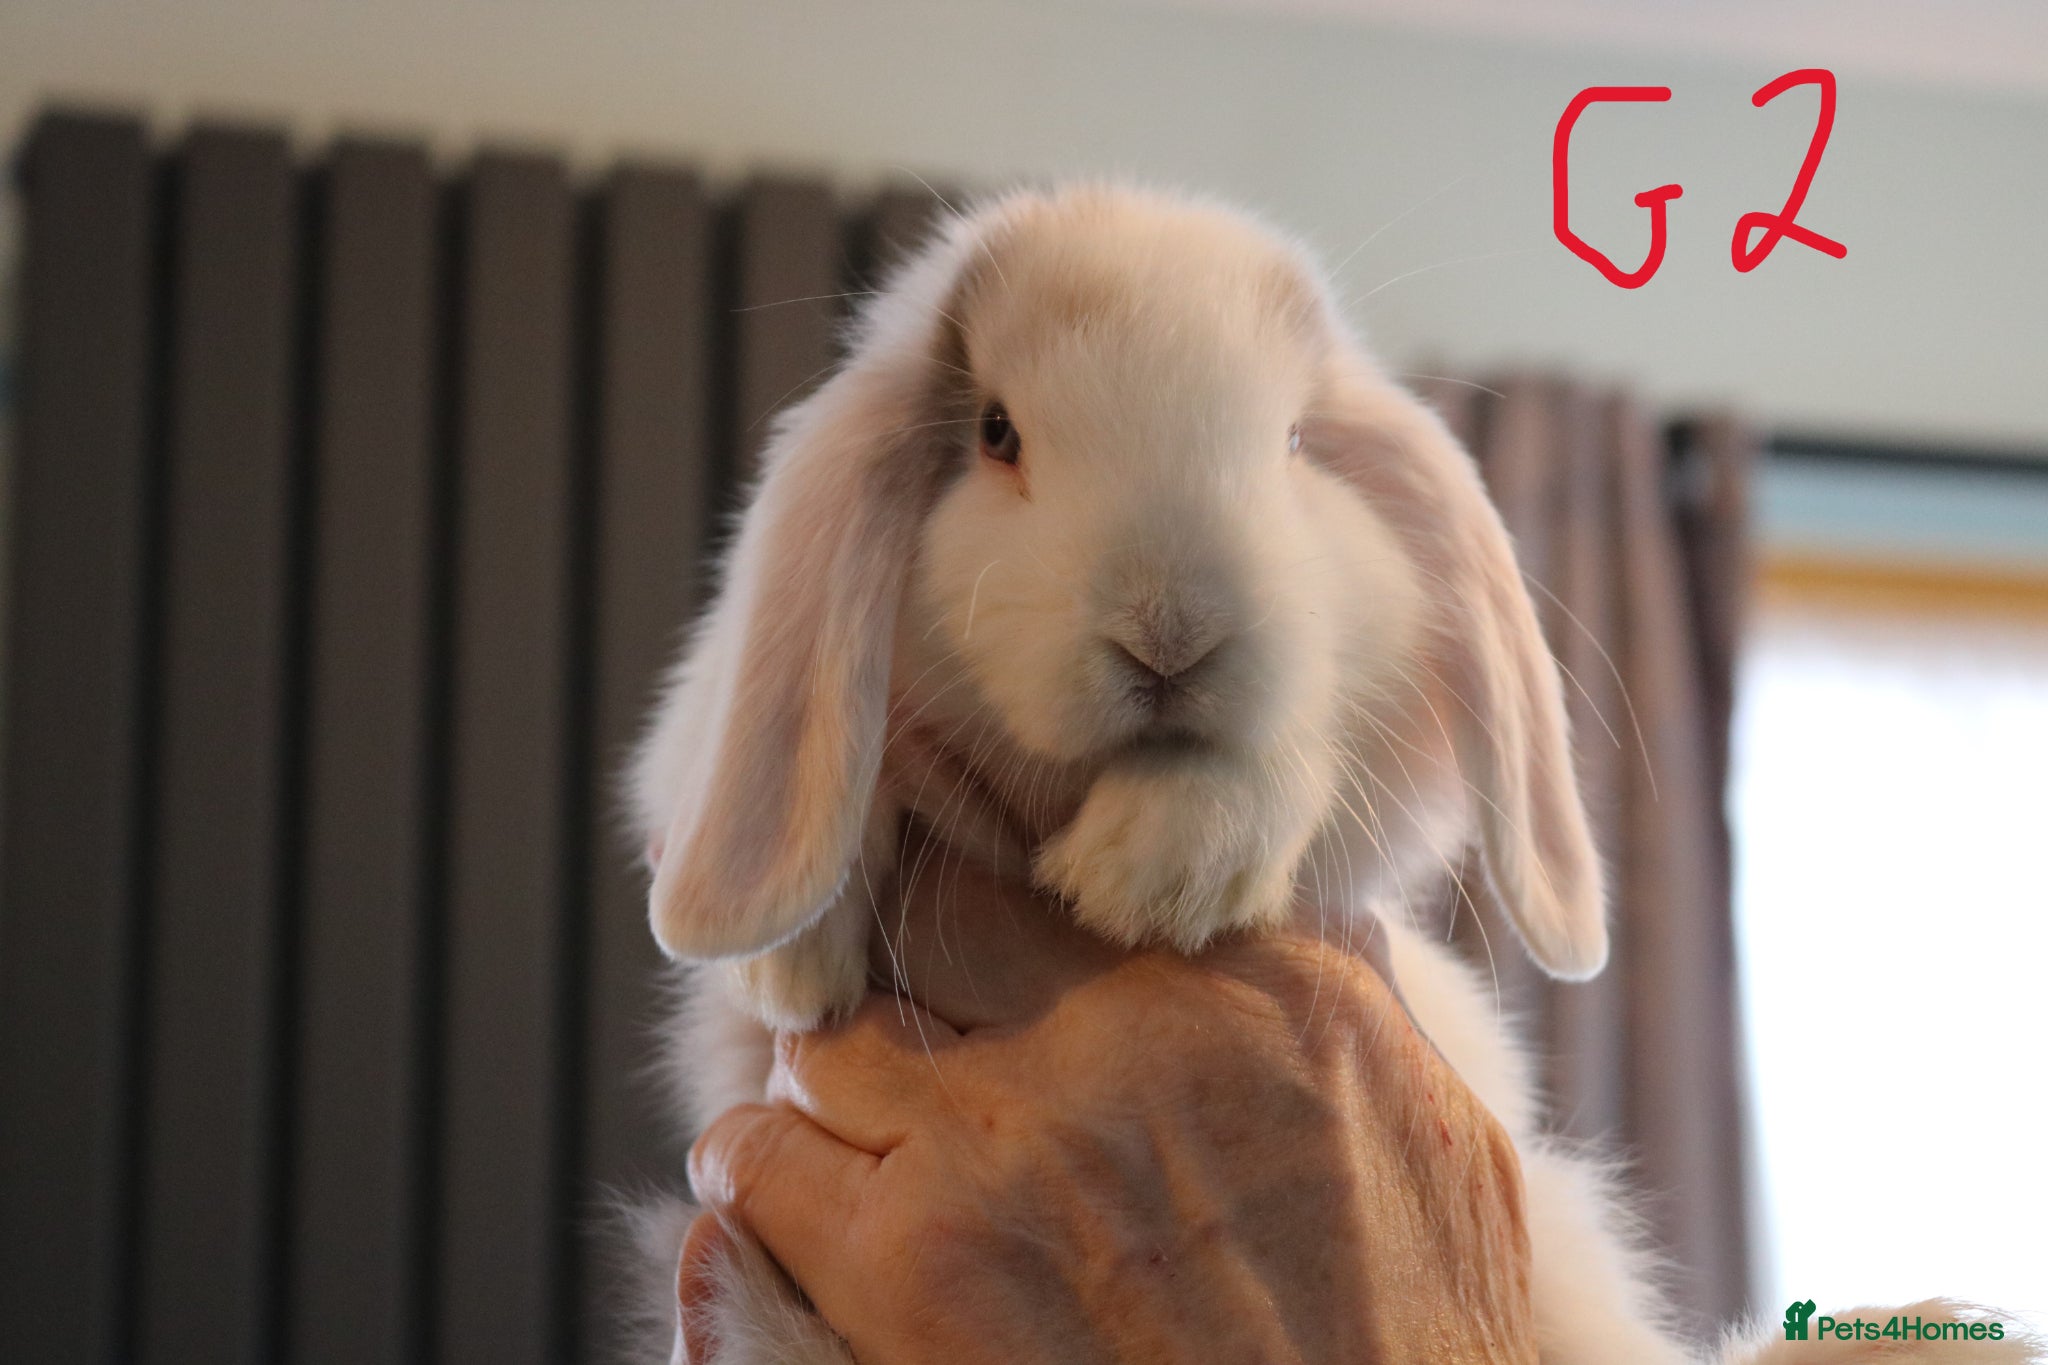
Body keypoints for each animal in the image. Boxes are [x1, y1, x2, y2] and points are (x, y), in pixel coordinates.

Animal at [627, 186, 2039, 1365]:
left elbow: (1289, 758)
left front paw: (1153, 873)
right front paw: (792, 959)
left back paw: (1906, 1332)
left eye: (1296, 442)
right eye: (995, 432)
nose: (1170, 633)